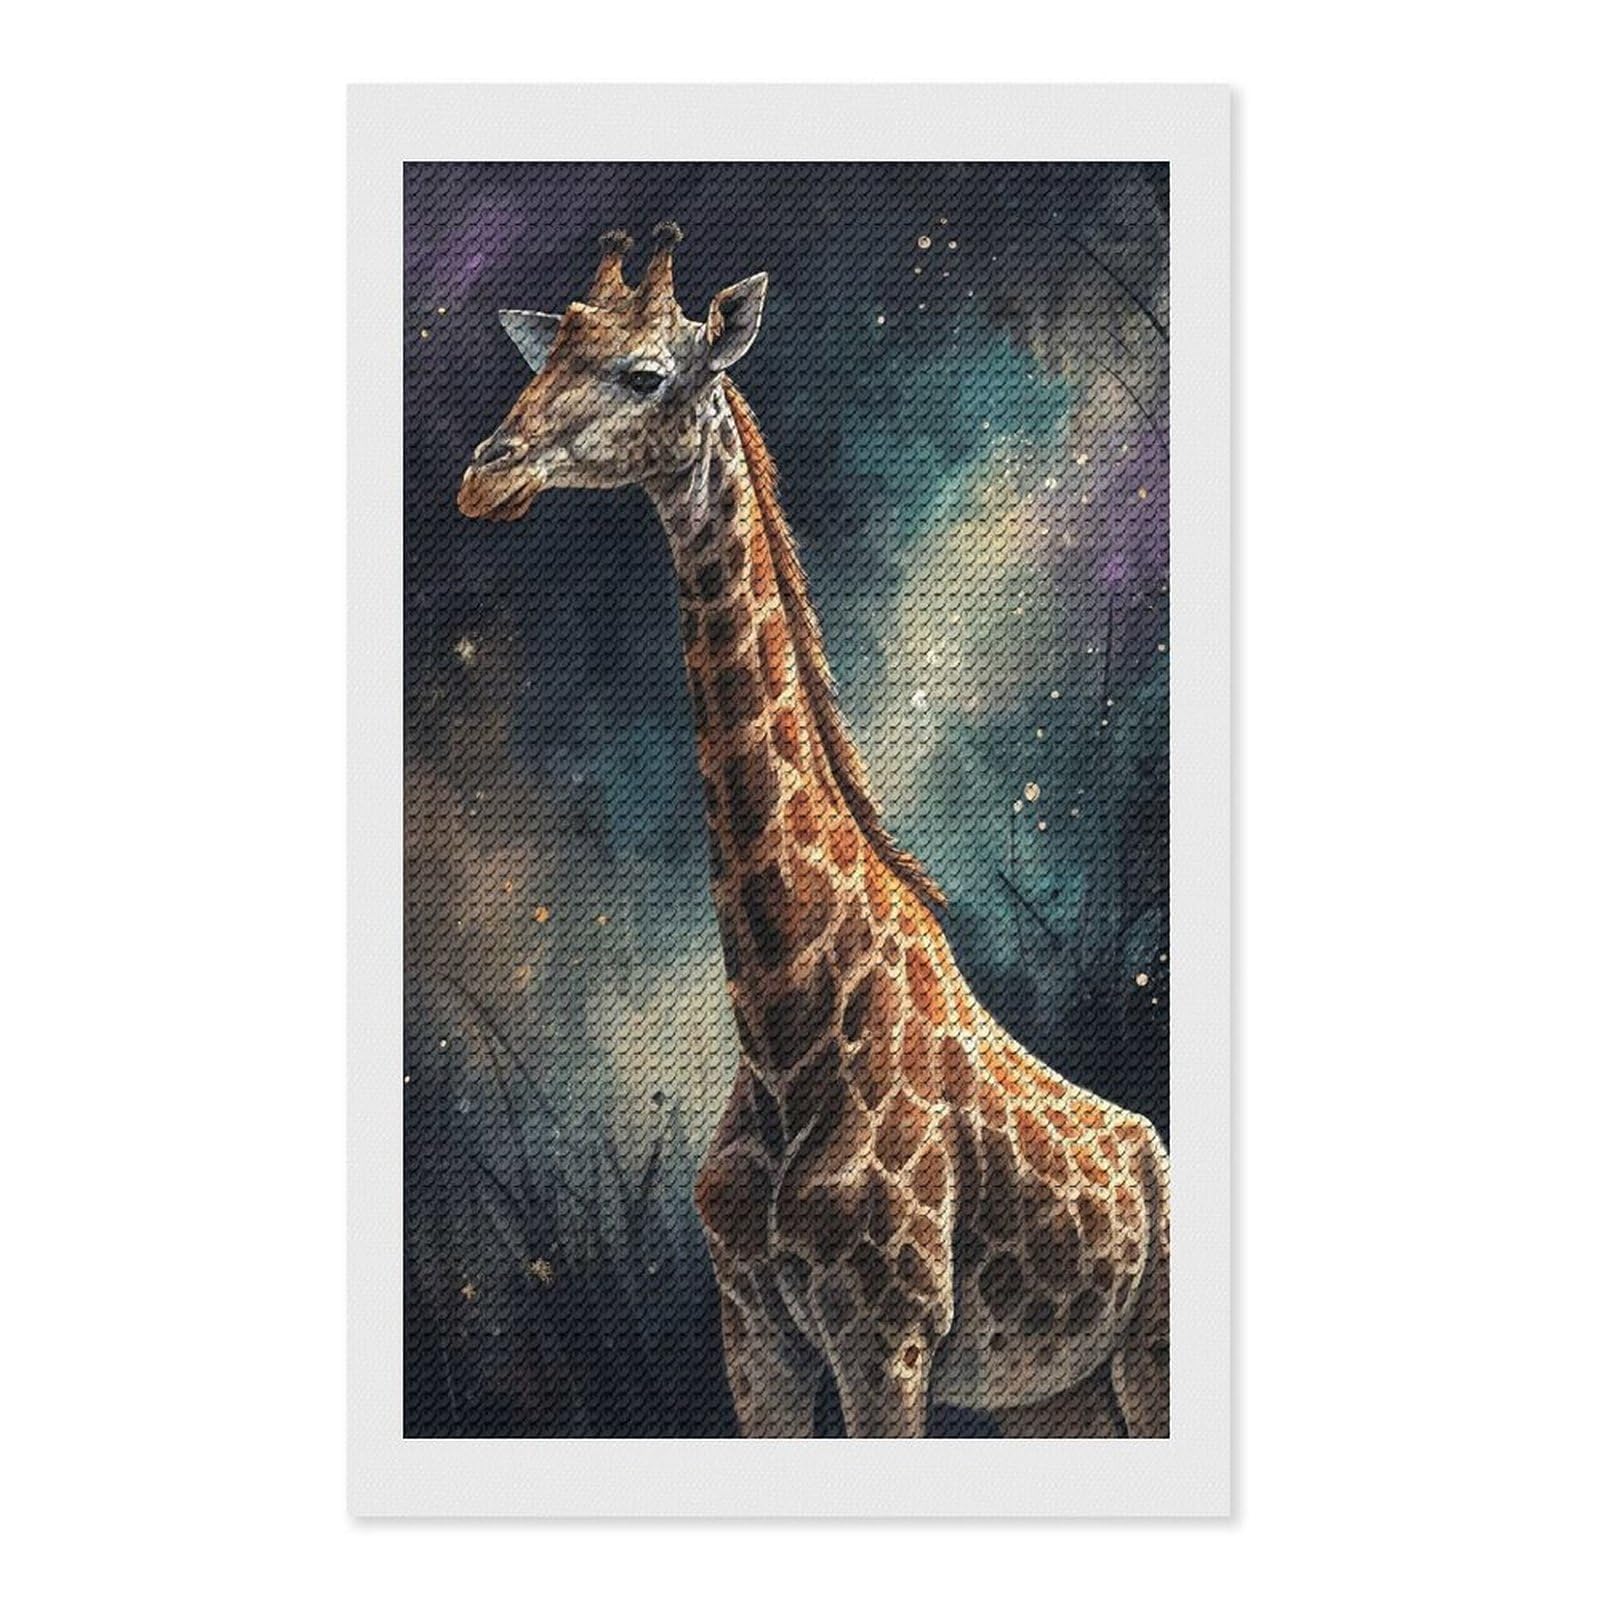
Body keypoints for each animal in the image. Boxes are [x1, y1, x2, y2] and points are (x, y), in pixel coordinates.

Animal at [457, 224, 1170, 1439]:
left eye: (644, 374)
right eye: (541, 359)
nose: (483, 475)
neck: (780, 1027)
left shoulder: (885, 1336)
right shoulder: (756, 1338)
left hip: (1147, 1353)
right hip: (1054, 1391)